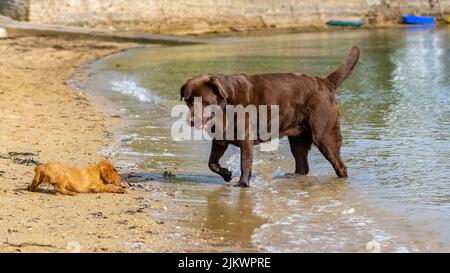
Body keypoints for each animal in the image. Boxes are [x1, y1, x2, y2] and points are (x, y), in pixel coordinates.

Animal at [181, 45, 360, 186]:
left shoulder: (246, 138)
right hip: (298, 138)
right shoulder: (220, 139)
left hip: (324, 134)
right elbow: (212, 163)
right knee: (302, 166)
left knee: (340, 165)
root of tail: (325, 82)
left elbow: (245, 162)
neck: (226, 105)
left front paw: (243, 184)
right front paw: (227, 174)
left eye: (205, 101)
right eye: (188, 100)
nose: (191, 120)